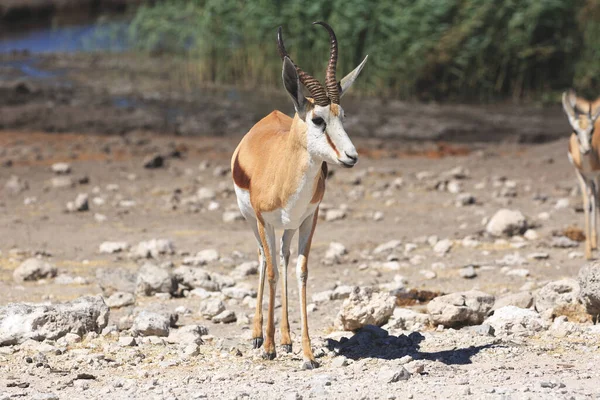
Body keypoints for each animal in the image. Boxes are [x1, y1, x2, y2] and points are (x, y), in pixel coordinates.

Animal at [232, 22, 368, 368]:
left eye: (342, 116)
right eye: (318, 119)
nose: (351, 156)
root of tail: (271, 116)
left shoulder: (309, 219)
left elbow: (301, 272)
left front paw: (306, 353)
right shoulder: (264, 220)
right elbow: (271, 273)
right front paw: (267, 348)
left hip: (289, 227)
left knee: (282, 256)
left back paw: (286, 338)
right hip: (252, 221)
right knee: (264, 258)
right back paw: (259, 336)